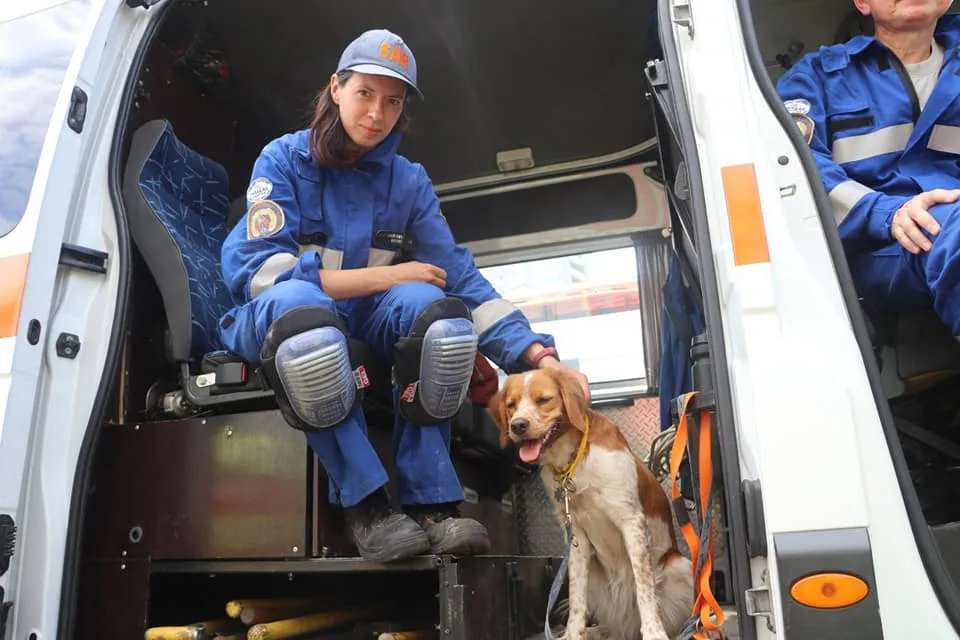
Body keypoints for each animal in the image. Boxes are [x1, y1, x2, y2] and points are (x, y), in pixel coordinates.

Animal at [492, 370, 692, 640]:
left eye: (543, 400)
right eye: (511, 405)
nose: (518, 425)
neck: (574, 461)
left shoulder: (631, 521)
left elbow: (644, 588)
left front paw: (654, 633)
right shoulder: (575, 535)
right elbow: (577, 596)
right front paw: (573, 633)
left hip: (680, 566)